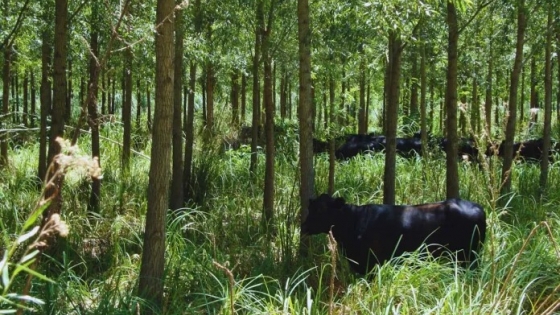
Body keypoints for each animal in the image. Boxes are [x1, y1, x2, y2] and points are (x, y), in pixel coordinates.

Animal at [302, 194, 486, 276]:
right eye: (311, 208)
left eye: (321, 209)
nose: (303, 226)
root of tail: (477, 207)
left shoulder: (370, 264)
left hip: (468, 257)